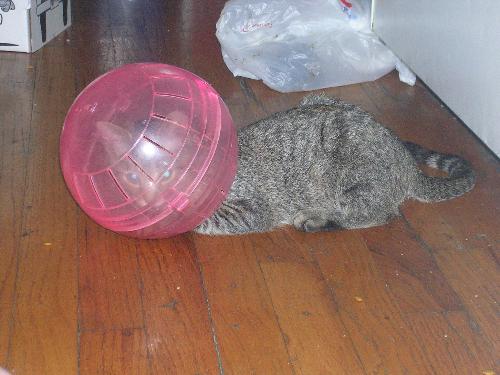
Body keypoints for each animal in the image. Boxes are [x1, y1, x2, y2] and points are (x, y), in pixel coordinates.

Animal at [193, 94, 474, 235]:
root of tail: (407, 163)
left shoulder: (252, 209)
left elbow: (210, 218)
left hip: (355, 176)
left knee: (373, 215)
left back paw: (317, 220)